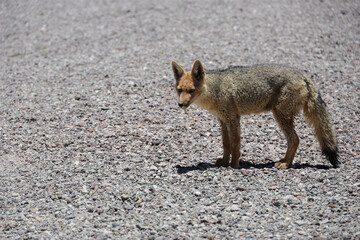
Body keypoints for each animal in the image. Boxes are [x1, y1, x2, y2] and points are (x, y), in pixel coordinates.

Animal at [173, 59, 338, 169]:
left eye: (191, 91)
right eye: (179, 90)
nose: (180, 104)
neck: (215, 89)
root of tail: (304, 75)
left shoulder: (233, 119)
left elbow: (235, 145)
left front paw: (234, 165)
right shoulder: (223, 120)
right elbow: (226, 145)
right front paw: (225, 162)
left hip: (279, 115)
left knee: (295, 139)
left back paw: (285, 163)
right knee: (294, 140)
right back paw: (284, 161)